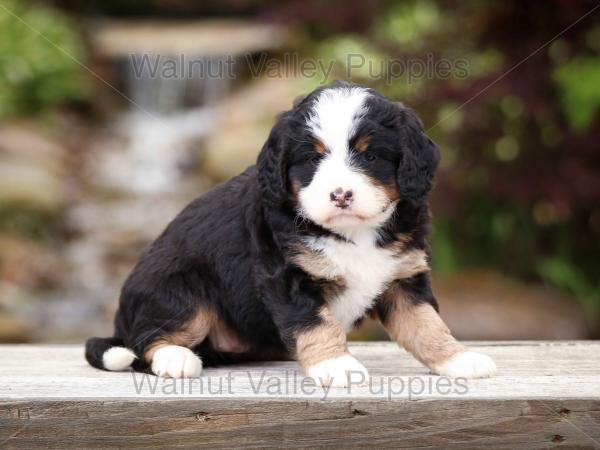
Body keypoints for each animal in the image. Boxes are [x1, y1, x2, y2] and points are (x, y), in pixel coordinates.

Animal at [85, 81, 496, 386]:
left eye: (369, 156)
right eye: (312, 158)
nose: (341, 194)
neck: (353, 233)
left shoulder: (403, 277)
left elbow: (426, 324)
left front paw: (458, 359)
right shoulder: (287, 276)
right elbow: (316, 323)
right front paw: (335, 366)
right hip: (179, 289)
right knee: (147, 339)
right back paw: (176, 358)